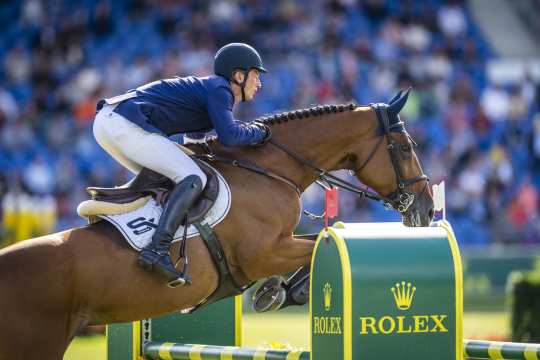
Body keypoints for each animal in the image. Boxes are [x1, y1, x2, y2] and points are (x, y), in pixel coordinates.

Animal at [0, 89, 430, 358]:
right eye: (405, 148)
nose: (425, 209)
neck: (269, 170)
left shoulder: (277, 246)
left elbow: (318, 238)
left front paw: (276, 293)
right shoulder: (265, 253)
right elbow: (315, 245)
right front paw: (281, 292)